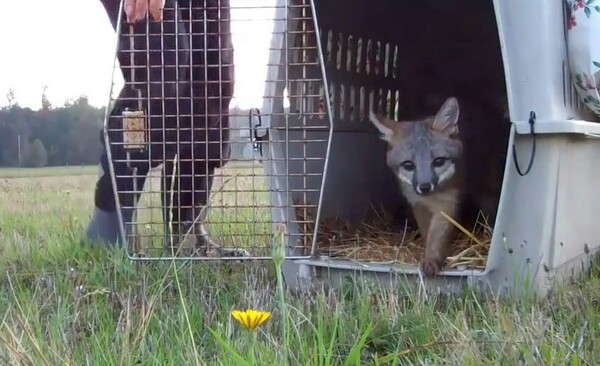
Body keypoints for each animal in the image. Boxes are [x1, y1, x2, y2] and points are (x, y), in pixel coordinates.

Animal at [368, 96, 504, 276]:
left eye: (439, 161)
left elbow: (438, 235)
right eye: (408, 165)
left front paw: (432, 258)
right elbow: (427, 231)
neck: (431, 198)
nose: (425, 186)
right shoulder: (417, 203)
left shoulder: (447, 204)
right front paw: (428, 251)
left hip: (487, 192)